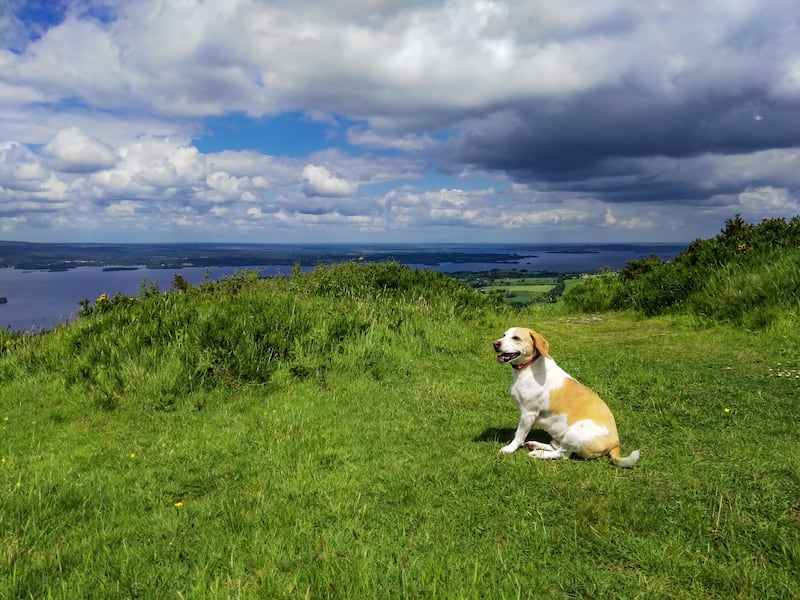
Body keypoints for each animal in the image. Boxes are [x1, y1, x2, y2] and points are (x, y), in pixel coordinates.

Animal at [490, 326, 640, 466]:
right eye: (504, 335)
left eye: (516, 338)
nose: (495, 343)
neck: (528, 368)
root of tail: (615, 444)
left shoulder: (528, 413)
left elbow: (519, 435)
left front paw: (509, 448)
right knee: (556, 446)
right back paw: (535, 445)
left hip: (575, 431)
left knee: (563, 454)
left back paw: (538, 453)